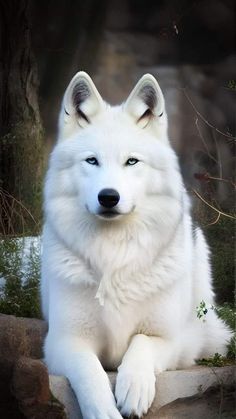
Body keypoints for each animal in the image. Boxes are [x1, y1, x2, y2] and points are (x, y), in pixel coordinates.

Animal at [41, 73, 230, 419]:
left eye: (131, 161)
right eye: (92, 161)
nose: (108, 197)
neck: (114, 252)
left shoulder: (171, 339)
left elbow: (141, 344)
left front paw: (134, 389)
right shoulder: (62, 342)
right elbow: (90, 373)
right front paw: (105, 411)